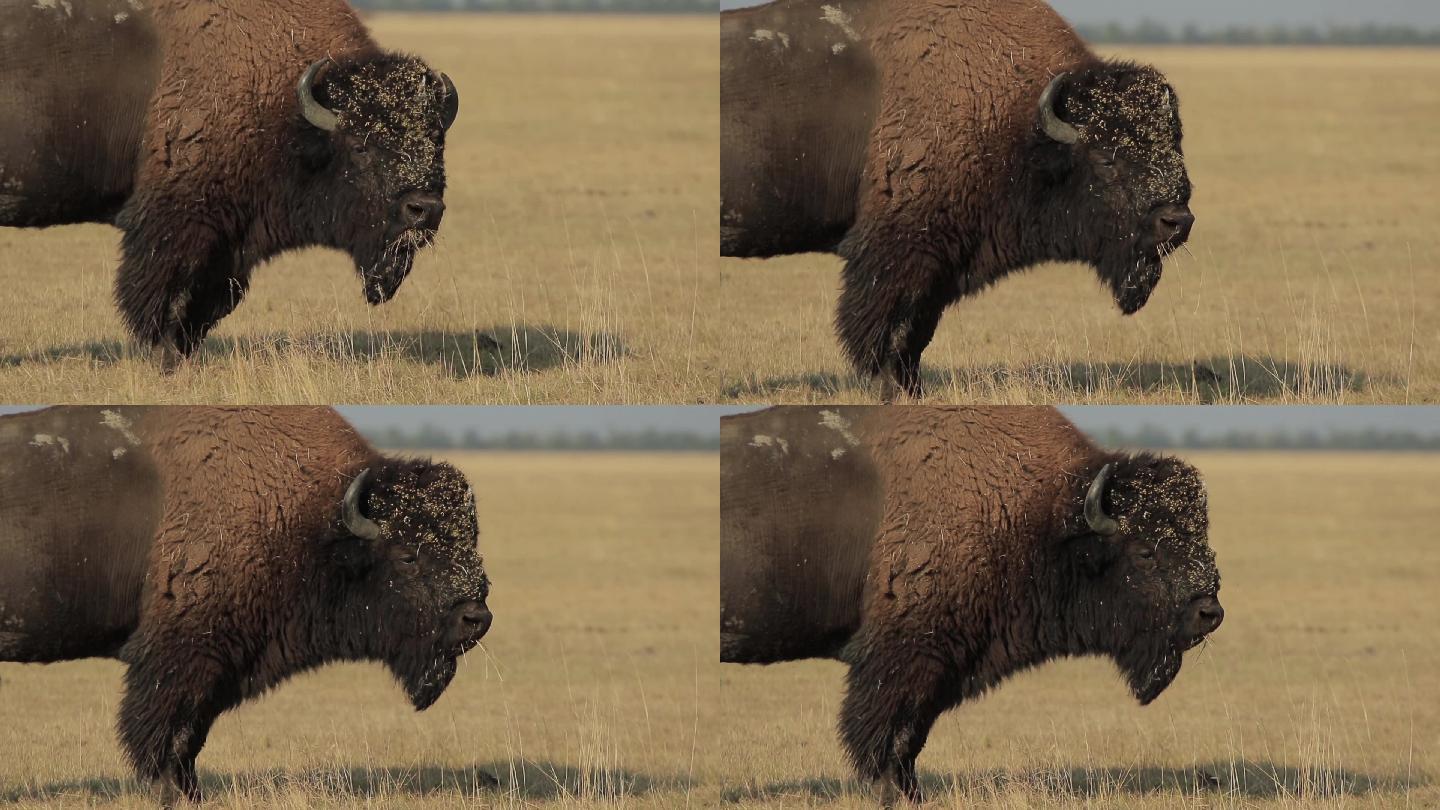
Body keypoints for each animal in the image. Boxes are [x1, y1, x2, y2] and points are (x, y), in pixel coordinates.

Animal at [0, 0, 455, 366]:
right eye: (360, 146)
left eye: (437, 141)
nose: (424, 209)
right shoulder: (178, 223)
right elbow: (162, 295)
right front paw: (163, 358)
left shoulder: (231, 242)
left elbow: (206, 304)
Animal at [0, 406, 492, 801]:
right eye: (408, 555)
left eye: (473, 546)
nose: (476, 618)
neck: (311, 519)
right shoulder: (183, 655)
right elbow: (166, 731)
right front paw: (168, 792)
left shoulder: (221, 665)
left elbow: (190, 737)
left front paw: (191, 792)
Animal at [720, 406, 1226, 801]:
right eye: (1145, 552)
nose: (1209, 612)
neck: (1040, 515)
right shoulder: (906, 658)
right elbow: (888, 734)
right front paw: (893, 793)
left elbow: (910, 737)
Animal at [725, 0, 1198, 397]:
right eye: (1105, 158)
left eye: (1176, 145)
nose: (1176, 221)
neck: (1019, 123)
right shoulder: (899, 253)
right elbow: (886, 330)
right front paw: (890, 389)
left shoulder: (940, 266)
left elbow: (915, 335)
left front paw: (911, 390)